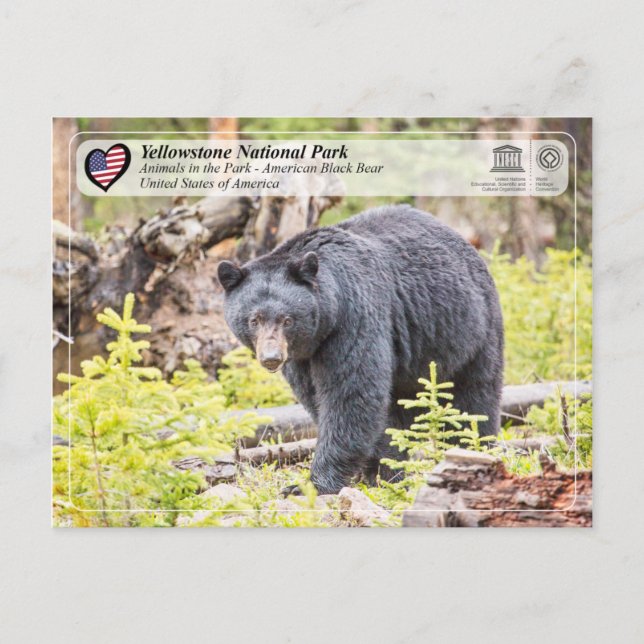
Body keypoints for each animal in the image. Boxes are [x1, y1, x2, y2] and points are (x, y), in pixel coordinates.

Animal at [217, 205, 504, 495]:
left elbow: (351, 394)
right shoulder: (302, 356)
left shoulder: (354, 317)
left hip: (470, 331)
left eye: (287, 319)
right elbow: (317, 397)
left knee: (473, 398)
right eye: (254, 319)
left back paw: (472, 451)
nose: (271, 358)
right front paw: (376, 470)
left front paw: (311, 484)